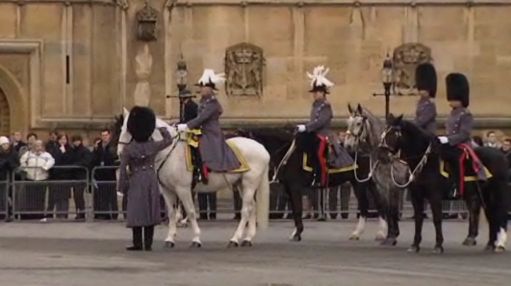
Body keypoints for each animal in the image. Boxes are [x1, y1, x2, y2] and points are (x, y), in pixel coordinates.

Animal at [117, 108, 272, 247]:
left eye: (129, 129)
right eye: (122, 128)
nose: (120, 153)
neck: (169, 151)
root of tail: (262, 148)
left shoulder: (183, 189)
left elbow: (191, 211)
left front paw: (196, 238)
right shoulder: (167, 190)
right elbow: (172, 213)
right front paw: (170, 238)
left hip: (249, 184)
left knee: (245, 210)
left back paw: (235, 239)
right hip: (241, 184)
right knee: (252, 207)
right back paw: (247, 238)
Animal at [382, 114, 510, 252]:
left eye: (394, 133)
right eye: (385, 131)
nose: (381, 153)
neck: (425, 162)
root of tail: (502, 156)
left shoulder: (435, 196)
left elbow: (437, 219)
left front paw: (438, 245)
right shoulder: (417, 196)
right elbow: (418, 219)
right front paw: (415, 245)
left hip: (495, 194)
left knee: (496, 216)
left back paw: (495, 244)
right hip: (484, 196)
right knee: (491, 216)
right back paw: (490, 244)